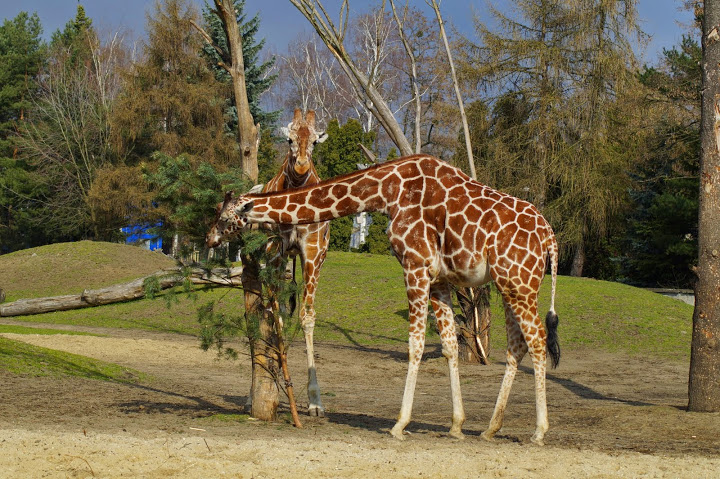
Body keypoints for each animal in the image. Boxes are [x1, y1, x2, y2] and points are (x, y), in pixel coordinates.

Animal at [206, 154, 561, 445]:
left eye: (223, 216)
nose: (210, 238)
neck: (386, 191)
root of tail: (550, 239)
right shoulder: (439, 279)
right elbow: (449, 344)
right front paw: (457, 425)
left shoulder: (414, 265)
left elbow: (416, 343)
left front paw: (400, 424)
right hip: (509, 284)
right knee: (517, 345)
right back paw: (490, 428)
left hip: (519, 282)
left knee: (538, 340)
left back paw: (539, 431)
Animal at [207, 108, 330, 417]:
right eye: (288, 139)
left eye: (315, 142)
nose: (301, 167)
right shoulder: (275, 250)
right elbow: (275, 316)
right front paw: (276, 384)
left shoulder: (314, 252)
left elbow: (305, 316)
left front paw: (315, 402)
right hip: (260, 259)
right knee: (259, 306)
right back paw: (254, 395)